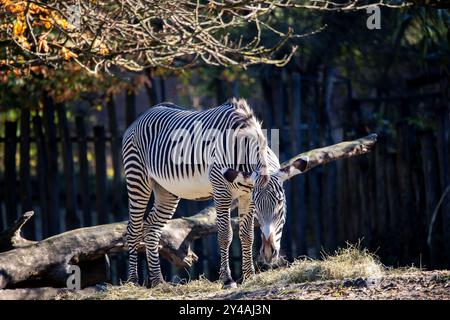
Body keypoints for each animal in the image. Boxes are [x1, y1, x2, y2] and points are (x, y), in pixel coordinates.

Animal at [121, 97, 308, 288]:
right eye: (259, 207)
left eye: (280, 203)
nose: (269, 253)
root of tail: (143, 115)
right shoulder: (221, 192)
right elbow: (225, 235)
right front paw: (227, 279)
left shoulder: (247, 196)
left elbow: (247, 235)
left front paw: (249, 276)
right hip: (137, 177)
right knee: (133, 229)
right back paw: (133, 282)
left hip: (166, 191)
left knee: (151, 228)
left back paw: (159, 282)